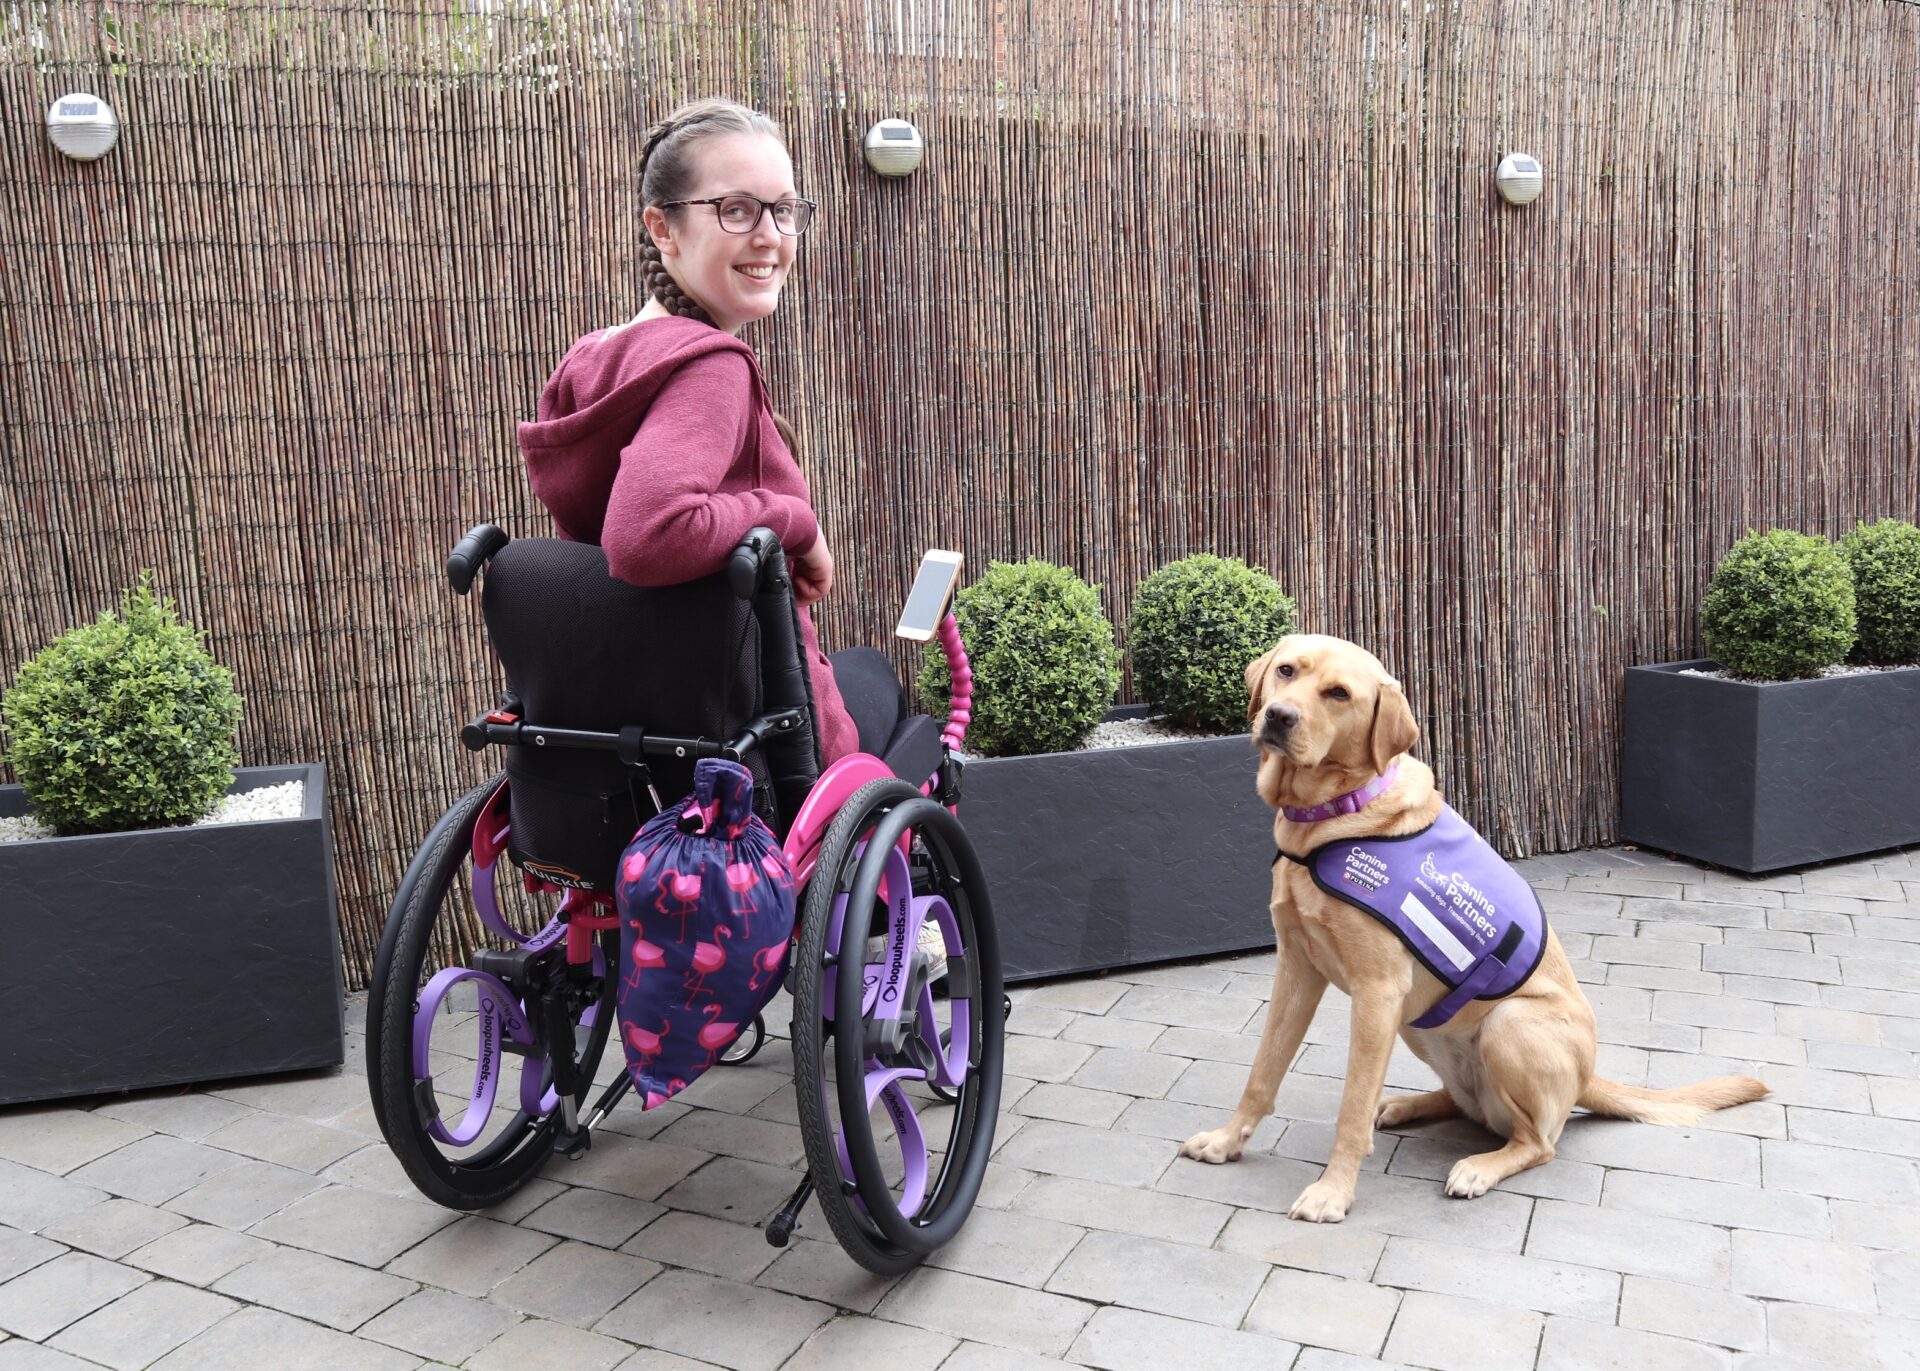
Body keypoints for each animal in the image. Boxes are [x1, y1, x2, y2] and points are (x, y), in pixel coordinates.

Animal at [1178, 634, 1768, 1221]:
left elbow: (1350, 1105)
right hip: (1416, 1022)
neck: (1333, 816)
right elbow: (1263, 1071)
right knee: (1470, 1108)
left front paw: (1333, 1192)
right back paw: (1406, 1105)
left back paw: (1479, 1167)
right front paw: (1226, 1141)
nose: (1279, 716)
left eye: (1339, 693)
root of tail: (1587, 1079)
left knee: (1537, 1141)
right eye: (1285, 671)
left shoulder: (1377, 991)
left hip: (1506, 1024)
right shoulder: (1297, 971)